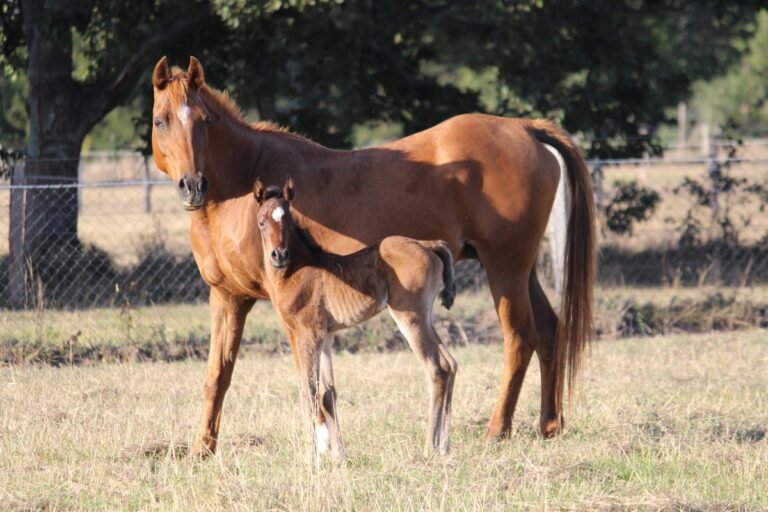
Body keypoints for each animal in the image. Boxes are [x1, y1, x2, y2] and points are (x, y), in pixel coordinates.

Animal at [253, 178, 457, 459]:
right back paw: (444, 447)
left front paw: (313, 456)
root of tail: (427, 244)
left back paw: (429, 448)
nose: (279, 255)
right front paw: (339, 456)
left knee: (436, 369)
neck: (297, 271)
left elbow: (309, 391)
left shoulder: (304, 334)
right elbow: (327, 393)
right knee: (449, 364)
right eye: (262, 221)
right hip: (425, 316)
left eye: (289, 221)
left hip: (409, 315)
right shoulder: (325, 337)